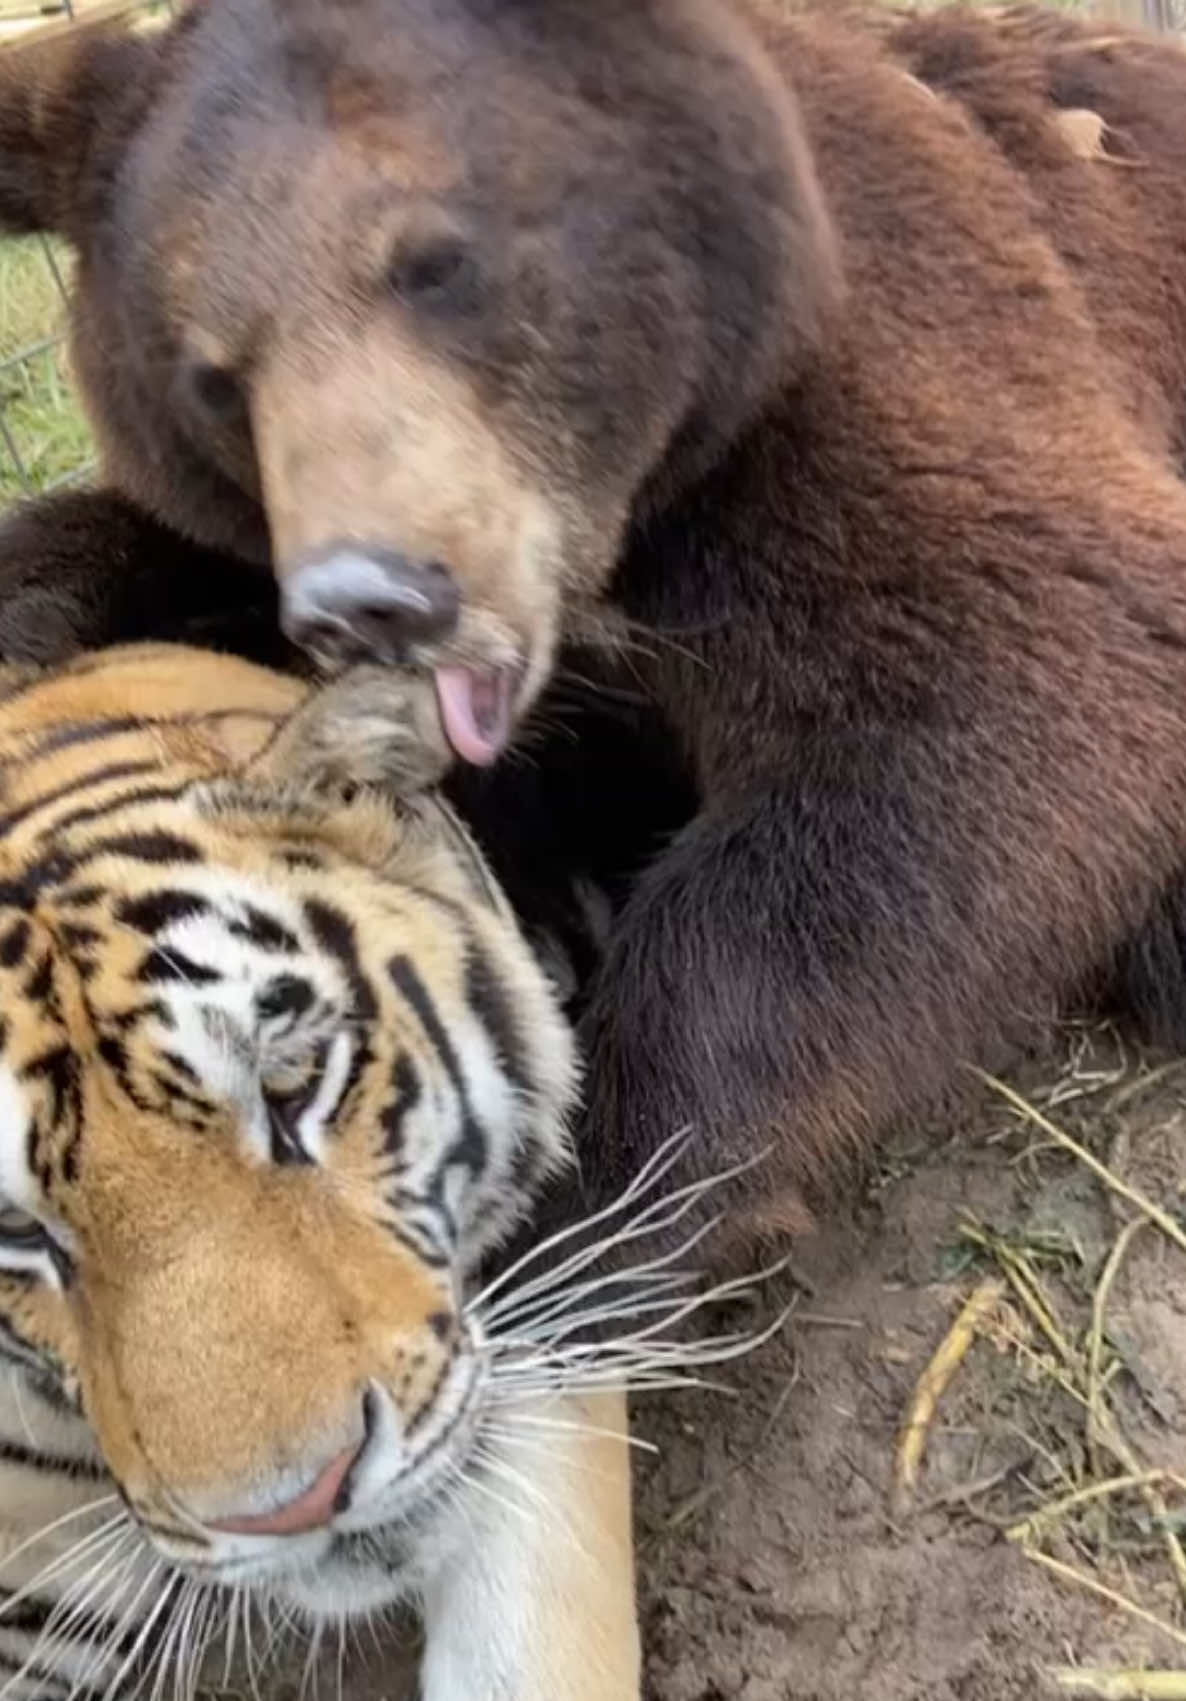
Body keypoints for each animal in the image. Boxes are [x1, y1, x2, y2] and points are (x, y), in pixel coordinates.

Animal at [4, 0, 1184, 1251]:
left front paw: (596, 1186)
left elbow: (1008, 681)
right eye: (213, 376)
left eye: (438, 264)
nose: (371, 598)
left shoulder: (877, 388)